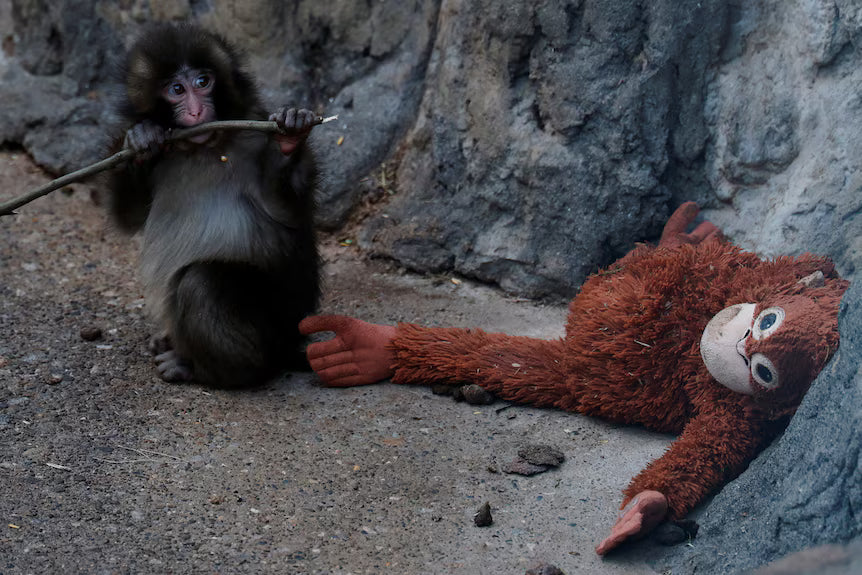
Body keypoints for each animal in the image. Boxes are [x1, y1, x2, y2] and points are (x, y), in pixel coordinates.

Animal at [106, 23, 320, 388]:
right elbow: (129, 216)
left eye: (203, 81)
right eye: (177, 89)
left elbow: (287, 212)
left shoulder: (253, 133)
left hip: (276, 321)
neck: (202, 147)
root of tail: (289, 341)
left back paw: (209, 370)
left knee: (201, 281)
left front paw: (289, 139)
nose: (196, 111)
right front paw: (140, 139)